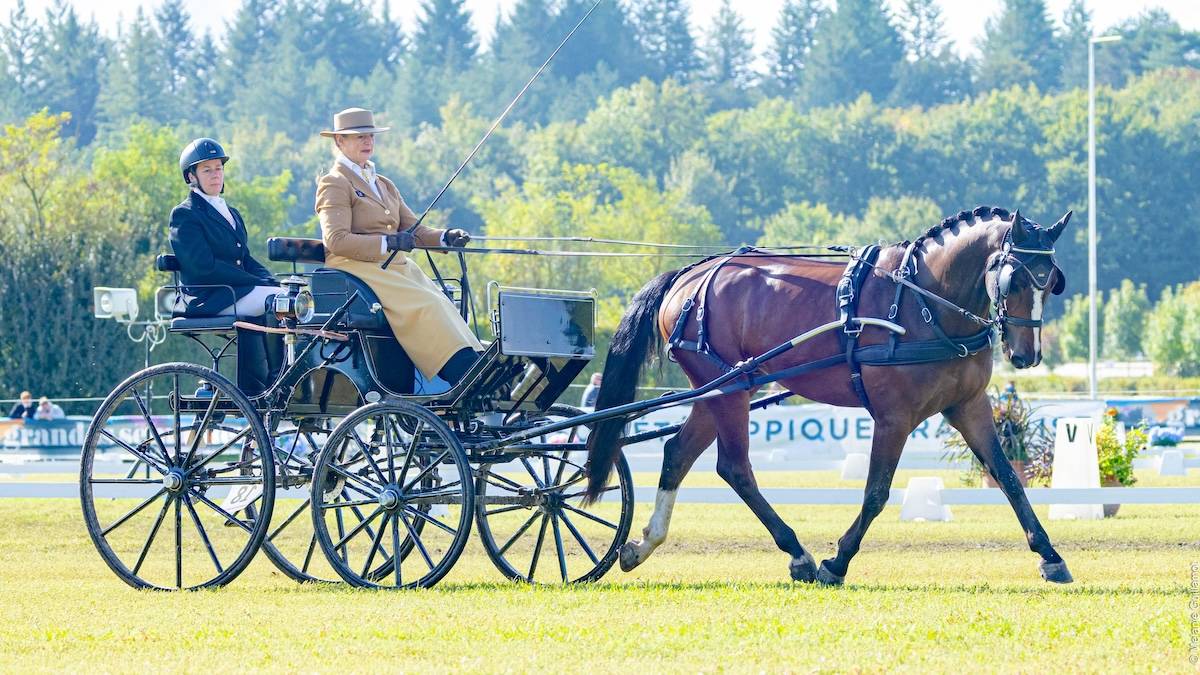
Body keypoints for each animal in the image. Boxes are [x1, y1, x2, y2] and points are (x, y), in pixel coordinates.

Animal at [583, 206, 1074, 585]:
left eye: (1051, 281)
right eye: (1014, 280)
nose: (1026, 355)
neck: (926, 303)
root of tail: (689, 275)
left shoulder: (968, 406)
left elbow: (1008, 477)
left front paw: (1050, 557)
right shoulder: (893, 417)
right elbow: (876, 492)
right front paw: (836, 562)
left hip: (724, 388)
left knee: (677, 455)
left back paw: (643, 544)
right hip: (727, 390)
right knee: (735, 468)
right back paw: (797, 553)